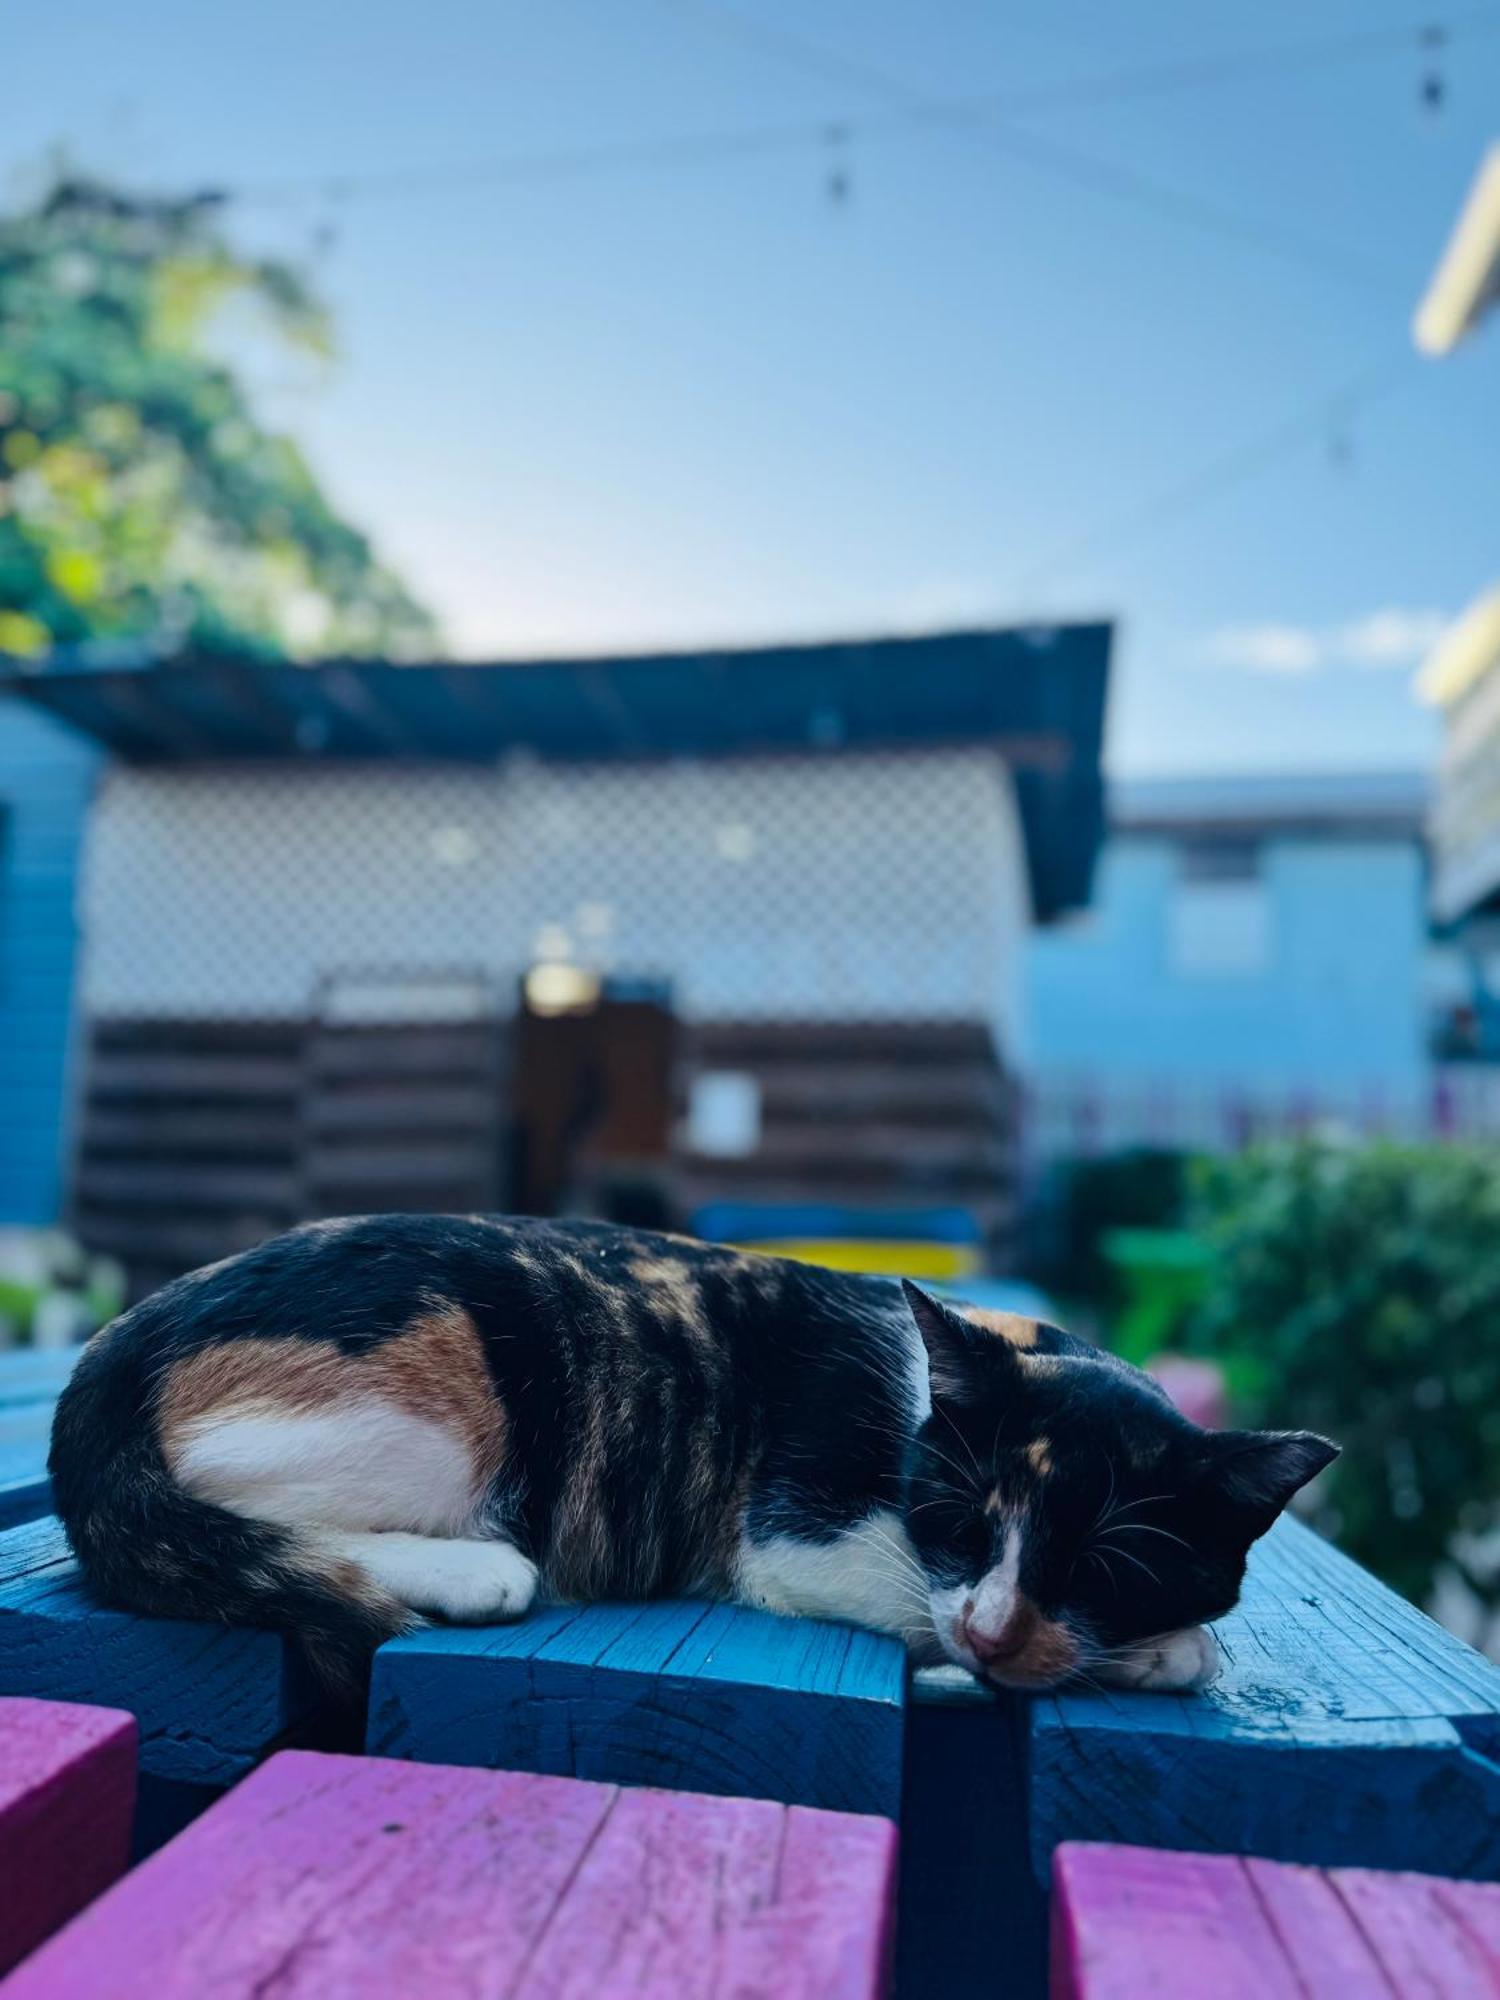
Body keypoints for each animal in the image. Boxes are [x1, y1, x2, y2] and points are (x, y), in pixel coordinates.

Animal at [50, 1208, 1336, 1696]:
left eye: (1105, 1564)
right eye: (965, 1523)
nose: (988, 1630)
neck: (913, 1400)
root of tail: (112, 1354)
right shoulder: (795, 1538)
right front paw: (1160, 1651)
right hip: (443, 1401)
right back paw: (477, 1570)